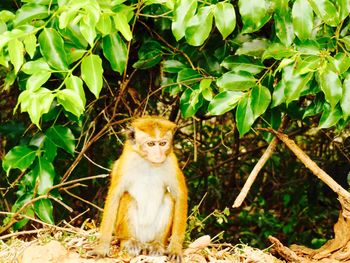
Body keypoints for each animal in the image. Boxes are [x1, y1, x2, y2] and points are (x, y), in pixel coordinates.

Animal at [92, 116, 186, 262]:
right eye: (151, 144)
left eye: (163, 143)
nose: (159, 155)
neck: (148, 162)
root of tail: (144, 241)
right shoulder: (126, 162)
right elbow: (115, 195)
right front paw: (102, 247)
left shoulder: (171, 162)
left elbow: (179, 196)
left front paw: (175, 248)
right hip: (123, 231)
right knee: (127, 197)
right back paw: (129, 242)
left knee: (168, 198)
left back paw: (157, 244)